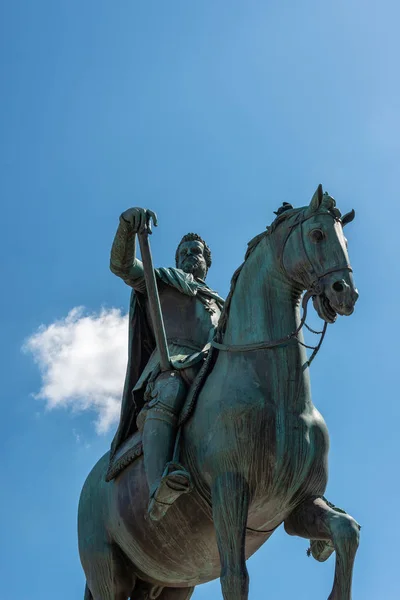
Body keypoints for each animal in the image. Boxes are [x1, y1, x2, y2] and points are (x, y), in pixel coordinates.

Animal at [78, 185, 360, 596]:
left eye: (345, 239)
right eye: (318, 234)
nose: (345, 293)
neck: (280, 402)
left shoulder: (297, 505)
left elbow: (347, 531)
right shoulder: (230, 490)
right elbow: (234, 577)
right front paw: (135, 217)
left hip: (169, 582)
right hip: (107, 573)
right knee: (164, 400)